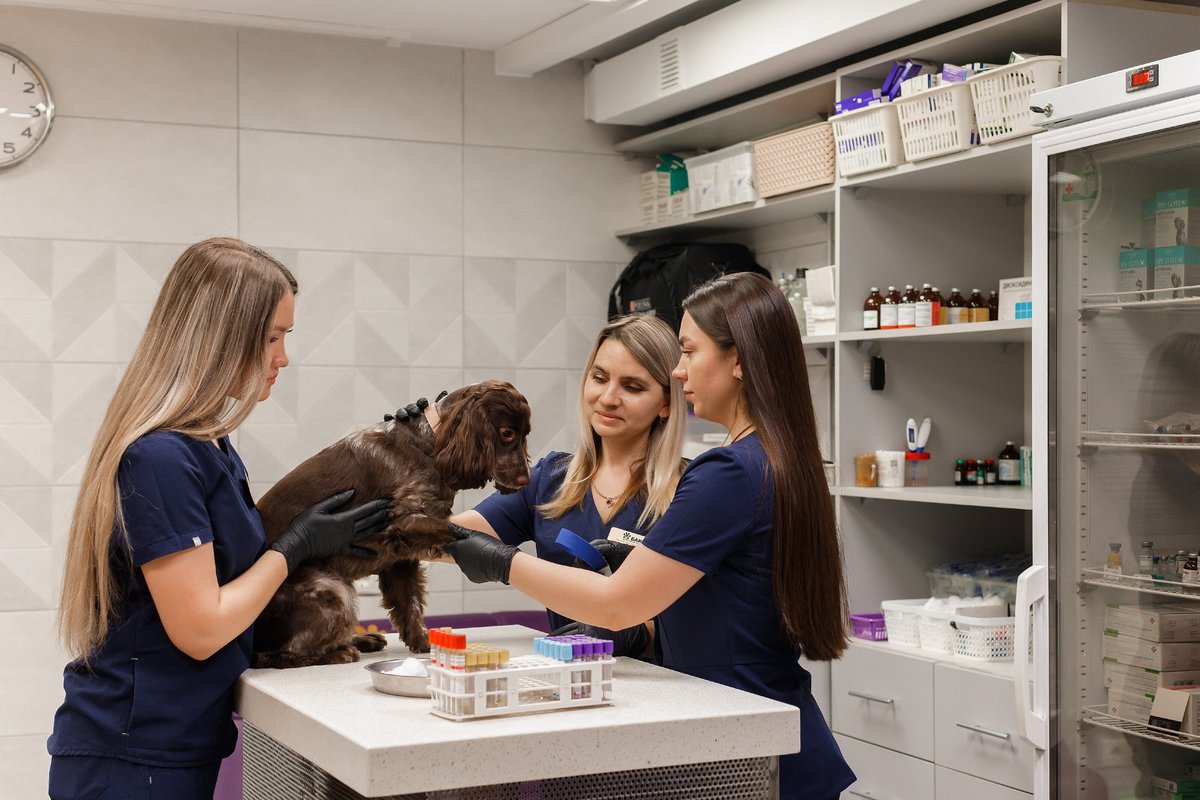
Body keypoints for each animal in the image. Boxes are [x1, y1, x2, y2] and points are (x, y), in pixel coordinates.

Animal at [252, 380, 532, 668]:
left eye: (525, 433)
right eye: (507, 433)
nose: (526, 480)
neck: (429, 446)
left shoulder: (400, 556)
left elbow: (410, 604)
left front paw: (425, 645)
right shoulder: (405, 522)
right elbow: (454, 534)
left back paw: (361, 640)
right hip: (333, 591)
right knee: (275, 655)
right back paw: (340, 652)